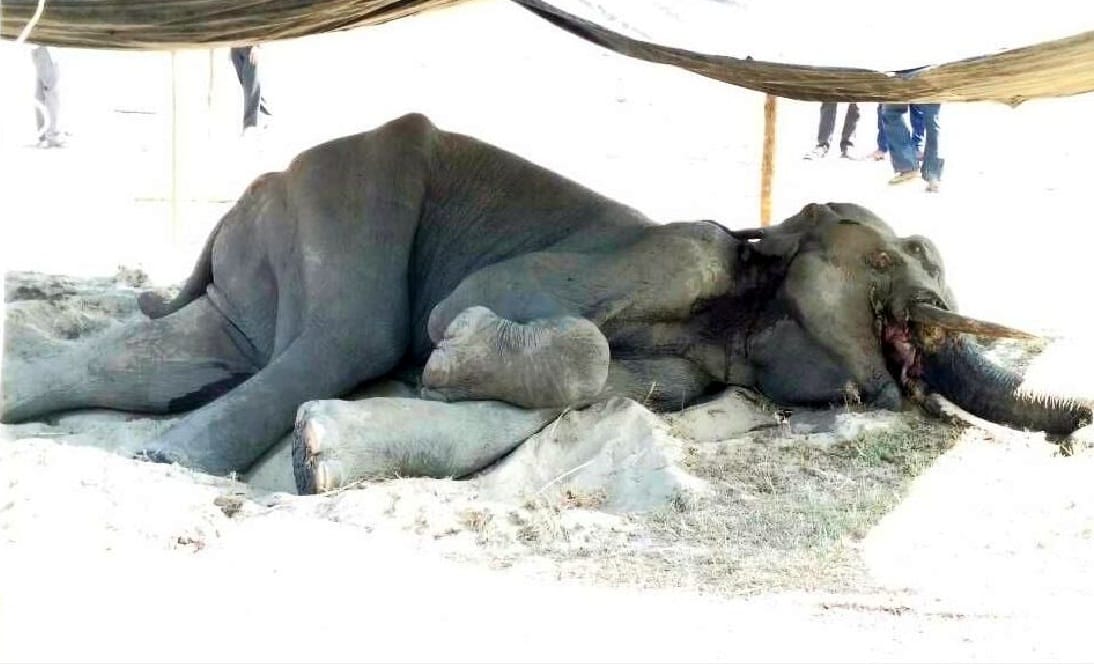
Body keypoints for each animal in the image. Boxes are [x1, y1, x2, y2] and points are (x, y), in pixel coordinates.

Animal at [2, 112, 1089, 489]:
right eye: (897, 257)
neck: (749, 294)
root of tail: (254, 189)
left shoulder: (692, 363)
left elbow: (615, 386)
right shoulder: (678, 251)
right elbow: (482, 309)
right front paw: (447, 353)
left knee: (159, 357)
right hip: (344, 191)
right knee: (347, 332)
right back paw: (169, 463)